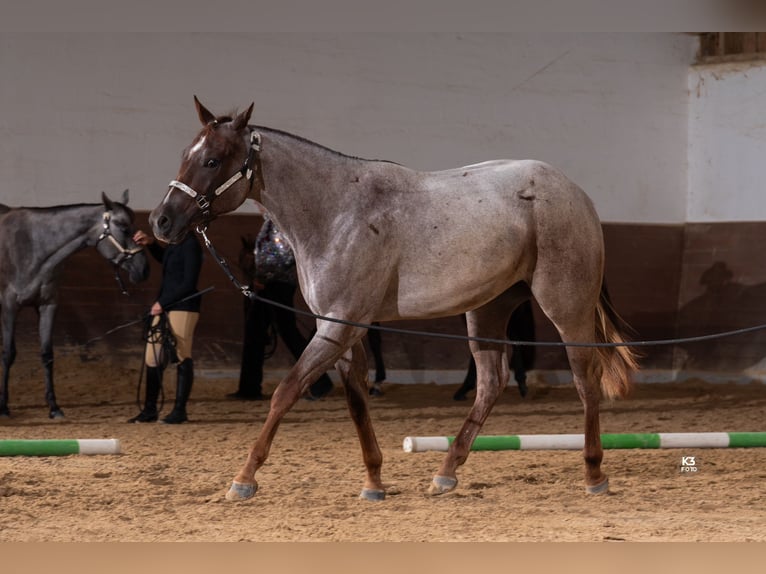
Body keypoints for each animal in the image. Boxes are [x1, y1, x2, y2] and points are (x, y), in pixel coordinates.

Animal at [0, 191, 150, 420]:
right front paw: (3, 407)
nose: (144, 269)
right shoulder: (9, 306)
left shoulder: (48, 305)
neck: (33, 244)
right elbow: (8, 354)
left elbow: (47, 354)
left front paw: (54, 407)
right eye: (124, 227)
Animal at [147, 99, 640, 504]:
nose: (161, 220)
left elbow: (286, 392)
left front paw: (244, 479)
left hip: (566, 307)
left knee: (585, 380)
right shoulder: (343, 330)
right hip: (488, 309)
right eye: (186, 154)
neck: (337, 213)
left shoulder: (337, 326)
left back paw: (594, 473)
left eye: (212, 160)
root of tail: (576, 194)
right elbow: (356, 402)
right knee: (491, 383)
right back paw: (446, 473)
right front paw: (373, 482)